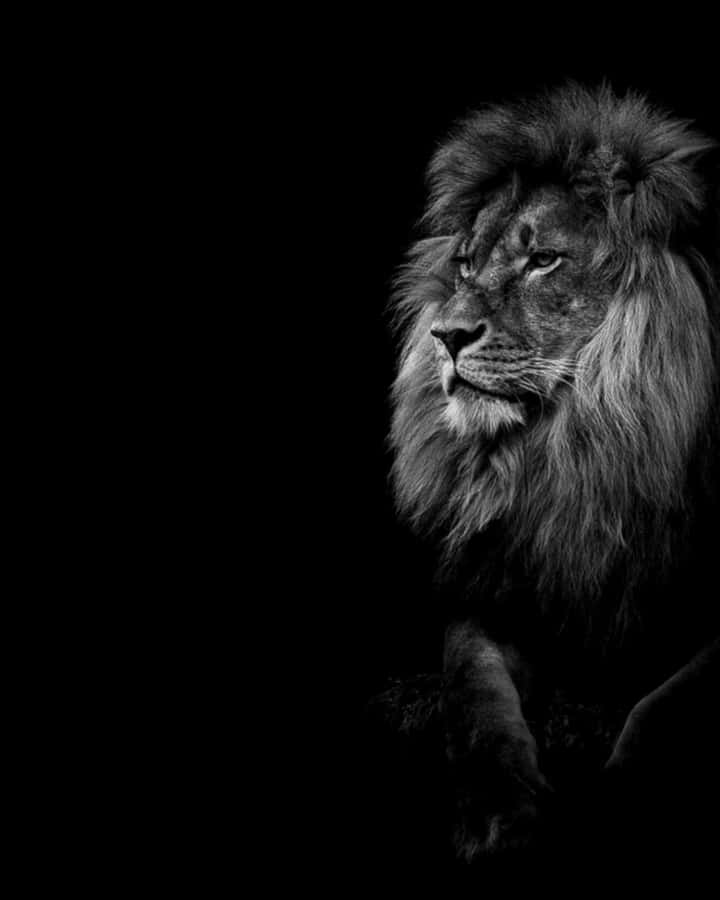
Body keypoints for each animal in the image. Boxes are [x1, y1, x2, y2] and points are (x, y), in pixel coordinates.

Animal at [388, 83, 720, 861]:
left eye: (543, 259)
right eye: (466, 263)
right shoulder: (501, 592)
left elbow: (663, 708)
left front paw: (618, 809)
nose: (444, 335)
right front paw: (497, 811)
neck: (577, 451)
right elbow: (473, 692)